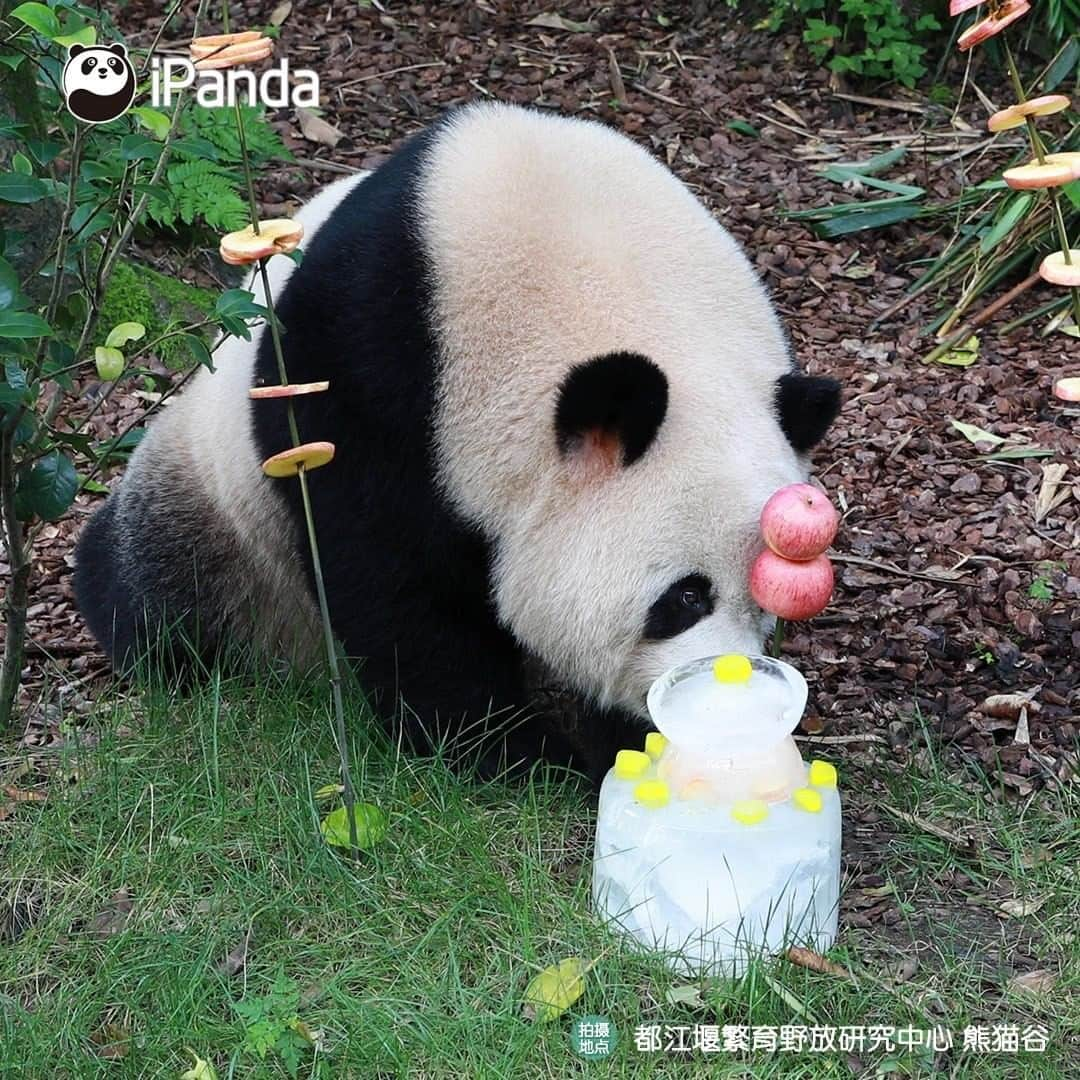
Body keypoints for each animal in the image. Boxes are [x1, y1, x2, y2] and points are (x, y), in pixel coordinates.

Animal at [76, 101, 838, 781]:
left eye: (771, 599)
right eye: (683, 599)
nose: (721, 697)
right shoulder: (375, 370)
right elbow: (392, 583)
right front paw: (516, 754)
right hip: (218, 496)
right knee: (158, 580)